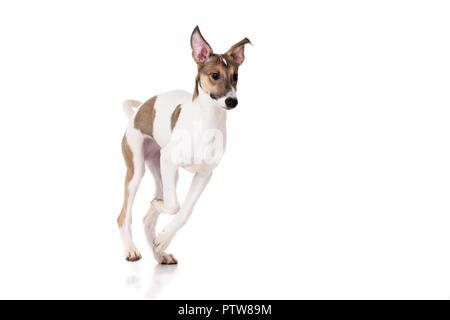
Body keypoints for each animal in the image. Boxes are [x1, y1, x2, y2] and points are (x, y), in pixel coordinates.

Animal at [117, 26, 250, 264]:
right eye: (215, 75)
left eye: (235, 76)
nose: (232, 101)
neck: (206, 121)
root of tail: (139, 109)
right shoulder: (170, 161)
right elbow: (173, 205)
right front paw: (157, 206)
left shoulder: (204, 175)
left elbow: (184, 212)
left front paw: (164, 239)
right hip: (137, 170)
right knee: (124, 215)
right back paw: (131, 249)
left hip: (162, 170)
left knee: (148, 219)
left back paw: (159, 252)